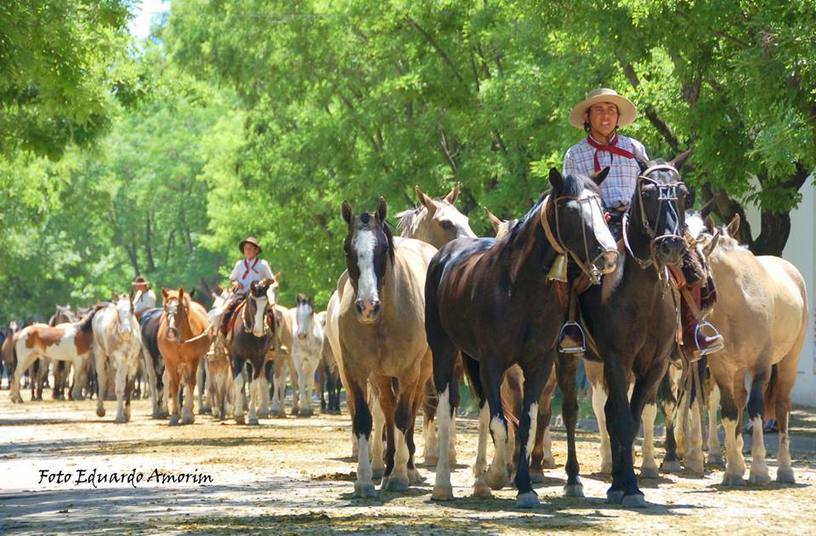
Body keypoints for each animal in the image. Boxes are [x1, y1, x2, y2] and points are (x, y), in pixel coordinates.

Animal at [158, 286, 212, 426]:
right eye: (165, 307)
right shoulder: (170, 361)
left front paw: (188, 415)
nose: (171, 332)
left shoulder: (193, 360)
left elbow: (191, 382)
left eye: (181, 307)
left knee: (193, 380)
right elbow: (174, 384)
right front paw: (174, 415)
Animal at [226, 278, 278, 426]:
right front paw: (238, 414)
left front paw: (253, 416)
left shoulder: (259, 359)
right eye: (252, 302)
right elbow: (239, 382)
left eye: (266, 304)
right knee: (236, 379)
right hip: (231, 357)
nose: (259, 330)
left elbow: (253, 385)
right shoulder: (237, 357)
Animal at [398, 183, 474, 464]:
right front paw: (431, 449)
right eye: (445, 223)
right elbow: (428, 399)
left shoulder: (453, 361)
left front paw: (449, 450)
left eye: (465, 218)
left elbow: (451, 398)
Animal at [428, 170, 620, 508]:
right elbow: (502, 422)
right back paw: (443, 484)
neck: (519, 286)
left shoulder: (539, 363)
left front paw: (525, 486)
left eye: (604, 209)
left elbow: (526, 423)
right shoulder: (493, 363)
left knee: (485, 409)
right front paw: (500, 474)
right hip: (444, 351)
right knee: (446, 407)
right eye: (571, 210)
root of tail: (446, 254)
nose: (608, 255)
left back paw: (482, 482)